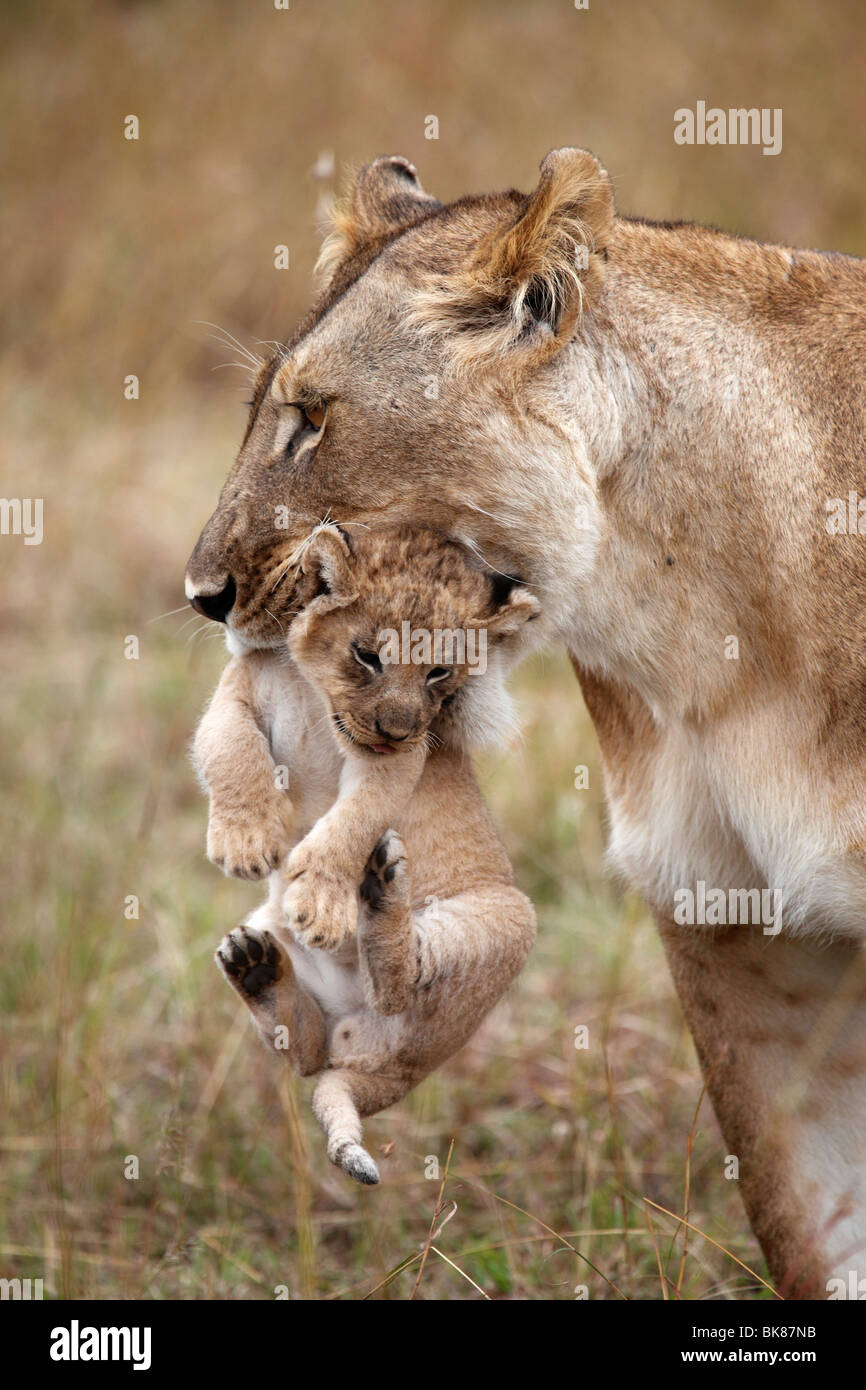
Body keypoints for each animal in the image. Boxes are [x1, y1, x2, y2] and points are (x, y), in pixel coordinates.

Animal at [194, 523, 537, 1183]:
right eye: (367, 655)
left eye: (439, 671)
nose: (396, 728)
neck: (314, 692)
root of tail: (396, 1073)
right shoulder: (237, 689)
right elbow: (227, 747)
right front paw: (246, 843)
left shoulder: (399, 761)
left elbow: (357, 819)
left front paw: (321, 900)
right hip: (298, 980)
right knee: (307, 1057)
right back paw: (255, 967)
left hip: (506, 919)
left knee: (400, 985)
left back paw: (378, 893)